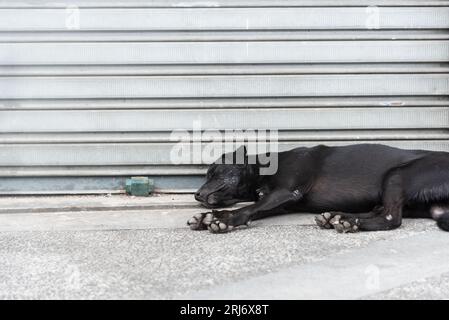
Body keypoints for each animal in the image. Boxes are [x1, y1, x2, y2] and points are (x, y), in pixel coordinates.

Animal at [186, 144, 448, 234]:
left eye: (216, 173)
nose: (196, 194)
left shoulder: (285, 192)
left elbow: (247, 209)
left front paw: (223, 220)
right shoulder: (278, 202)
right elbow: (255, 208)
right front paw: (207, 216)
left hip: (397, 175)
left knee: (391, 218)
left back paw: (348, 222)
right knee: (379, 211)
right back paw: (337, 218)